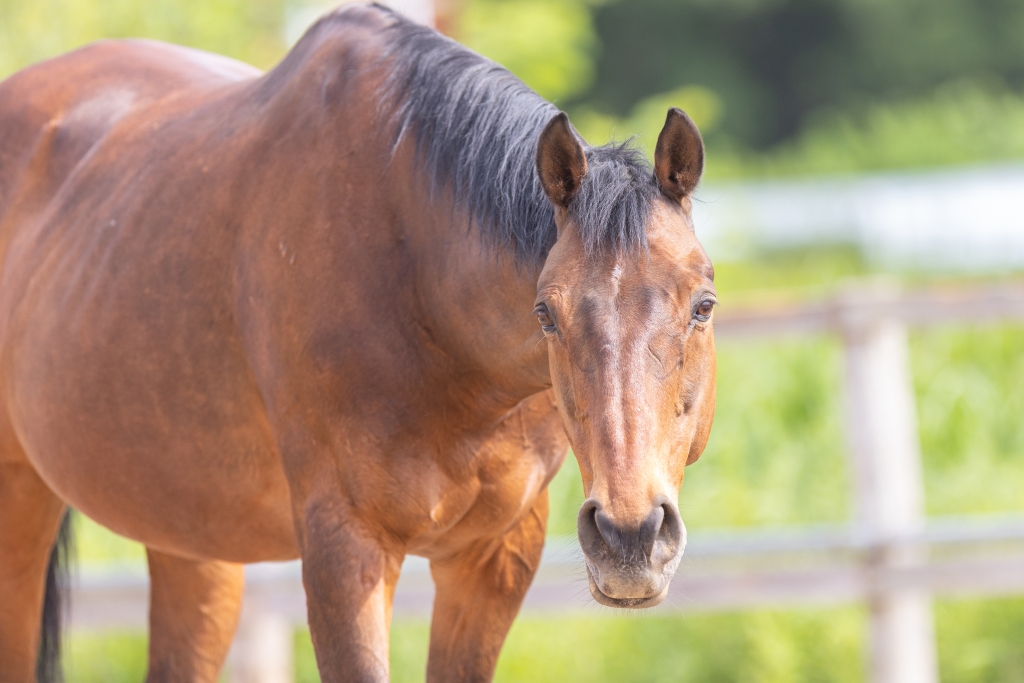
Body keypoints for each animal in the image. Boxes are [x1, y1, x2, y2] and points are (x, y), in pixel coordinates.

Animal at [0, 5, 716, 683]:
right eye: (545, 315)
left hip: (191, 537)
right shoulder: (345, 551)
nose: (630, 537)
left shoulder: (495, 556)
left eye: (703, 306)